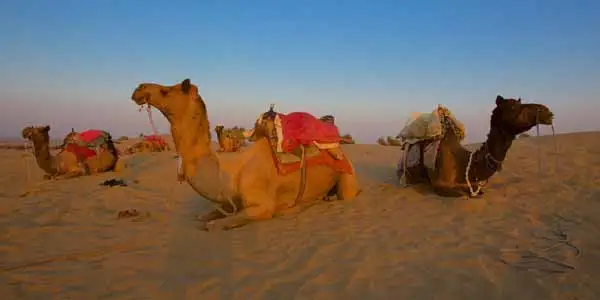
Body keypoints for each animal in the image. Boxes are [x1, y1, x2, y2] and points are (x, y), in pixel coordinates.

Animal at [129, 78, 358, 231]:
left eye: (166, 91)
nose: (138, 89)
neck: (230, 172)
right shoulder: (228, 202)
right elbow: (202, 216)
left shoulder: (262, 206)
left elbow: (213, 225)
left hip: (347, 176)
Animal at [400, 94, 556, 197]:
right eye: (513, 106)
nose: (546, 111)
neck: (465, 165)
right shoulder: (439, 185)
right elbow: (458, 193)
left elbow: (479, 190)